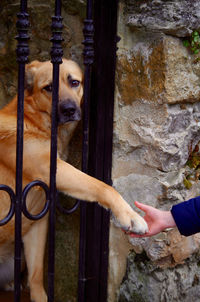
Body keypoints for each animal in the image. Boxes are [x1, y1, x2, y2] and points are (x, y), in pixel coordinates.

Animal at [0, 59, 148, 302]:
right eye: (48, 87)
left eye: (74, 82)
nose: (69, 110)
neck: (34, 120)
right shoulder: (52, 168)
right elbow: (102, 186)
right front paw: (130, 216)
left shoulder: (36, 227)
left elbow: (36, 278)